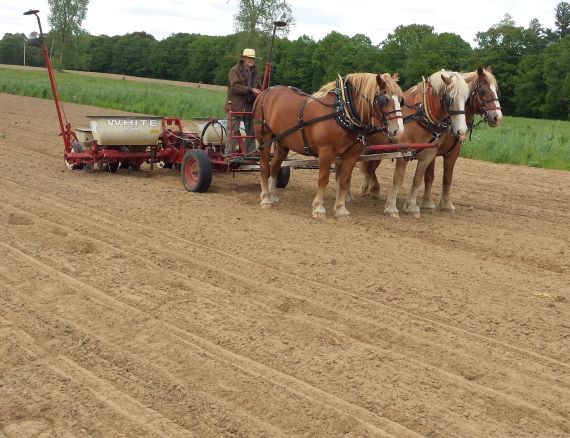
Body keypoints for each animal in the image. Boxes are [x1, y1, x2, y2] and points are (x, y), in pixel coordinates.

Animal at [252, 72, 403, 219]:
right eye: (385, 99)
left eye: (401, 100)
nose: (399, 131)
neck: (343, 112)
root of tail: (265, 92)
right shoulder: (326, 152)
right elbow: (323, 179)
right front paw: (319, 208)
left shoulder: (351, 156)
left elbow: (344, 181)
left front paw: (341, 209)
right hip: (264, 139)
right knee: (264, 166)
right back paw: (266, 198)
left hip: (282, 143)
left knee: (275, 166)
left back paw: (272, 196)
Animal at [358, 70, 471, 218]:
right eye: (450, 99)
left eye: (467, 99)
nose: (462, 132)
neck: (422, 115)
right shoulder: (403, 152)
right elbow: (398, 178)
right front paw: (391, 207)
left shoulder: (428, 154)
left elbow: (418, 179)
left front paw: (411, 206)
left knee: (368, 169)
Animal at [421, 66, 502, 212]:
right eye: (483, 91)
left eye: (496, 90)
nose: (497, 117)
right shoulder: (431, 149)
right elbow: (429, 176)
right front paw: (427, 202)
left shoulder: (454, 152)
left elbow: (447, 178)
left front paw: (446, 204)